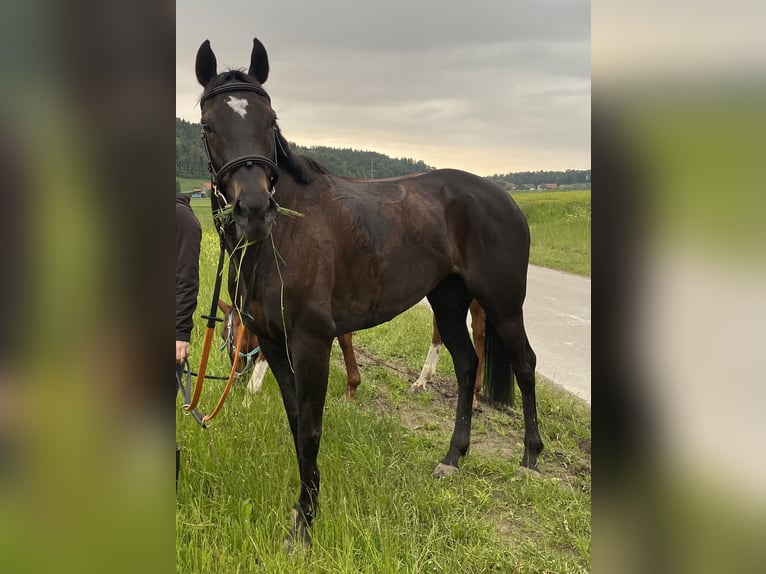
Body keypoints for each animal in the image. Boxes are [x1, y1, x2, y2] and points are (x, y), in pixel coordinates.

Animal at [195, 37, 544, 552]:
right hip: (448, 301)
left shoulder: (312, 342)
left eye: (270, 120)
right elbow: (295, 419)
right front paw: (305, 507)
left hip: (502, 304)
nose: (254, 210)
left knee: (523, 365)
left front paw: (305, 524)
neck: (284, 237)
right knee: (466, 366)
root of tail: (503, 197)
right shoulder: (274, 342)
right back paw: (452, 457)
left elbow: (310, 428)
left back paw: (529, 460)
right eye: (208, 125)